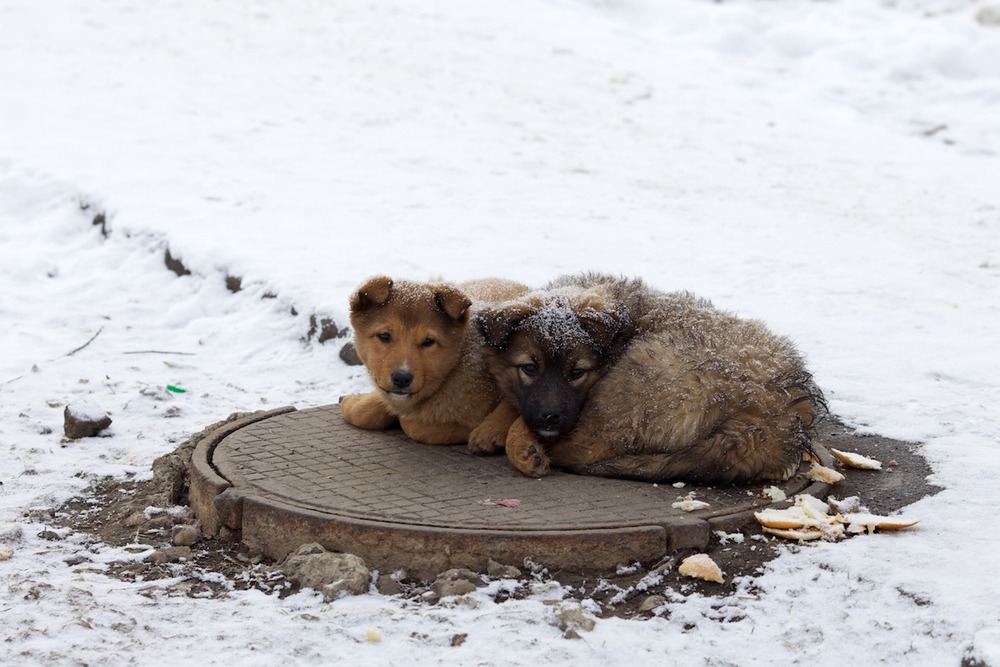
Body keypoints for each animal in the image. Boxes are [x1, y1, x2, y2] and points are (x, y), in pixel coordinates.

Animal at [342, 274, 532, 452]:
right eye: (384, 336)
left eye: (428, 342)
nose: (402, 378)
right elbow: (364, 411)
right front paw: (352, 402)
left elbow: (412, 425)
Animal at [476, 272, 828, 486]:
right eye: (529, 368)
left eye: (577, 372)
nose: (549, 416)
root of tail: (774, 420)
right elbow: (515, 402)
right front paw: (491, 428)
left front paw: (516, 439)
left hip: (639, 369)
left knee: (589, 446)